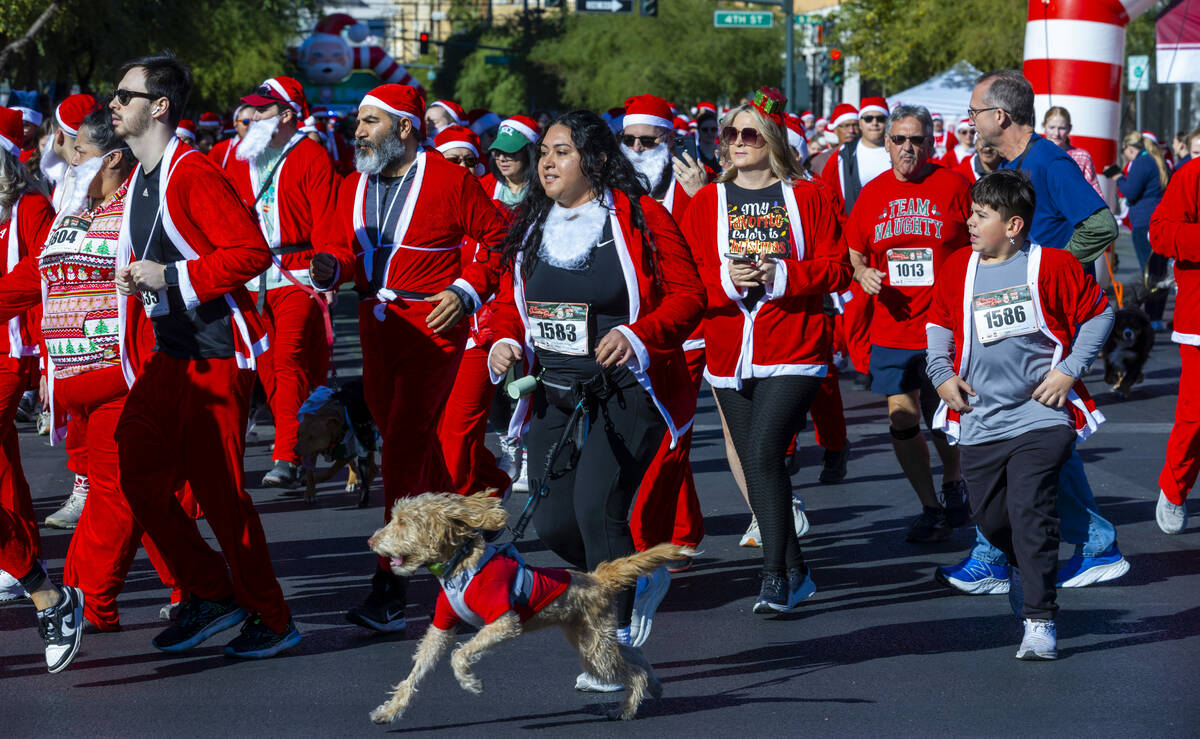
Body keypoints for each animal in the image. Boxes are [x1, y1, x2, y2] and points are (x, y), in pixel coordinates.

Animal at [364, 494, 691, 724]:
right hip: (591, 638)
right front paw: (391, 709)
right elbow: (416, 671)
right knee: (636, 655)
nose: (370, 540)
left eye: (404, 521)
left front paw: (470, 682)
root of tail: (597, 578)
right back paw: (655, 685)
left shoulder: (503, 620)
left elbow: (459, 654)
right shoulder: (441, 626)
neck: (460, 566)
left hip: (594, 647)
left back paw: (626, 709)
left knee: (633, 673)